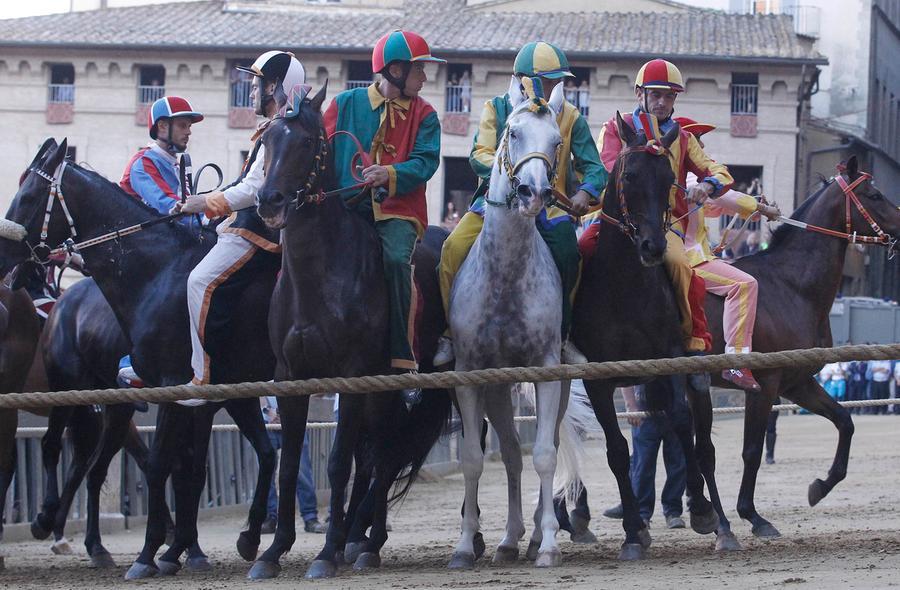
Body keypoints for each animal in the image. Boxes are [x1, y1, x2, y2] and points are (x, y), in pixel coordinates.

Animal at [0, 140, 276, 580]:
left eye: (27, 196)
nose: (2, 253)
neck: (158, 272)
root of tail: (63, 306)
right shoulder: (208, 394)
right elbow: (191, 466)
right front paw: (178, 548)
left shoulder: (189, 391)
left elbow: (180, 465)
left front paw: (163, 552)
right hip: (80, 393)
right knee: (69, 455)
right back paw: (60, 527)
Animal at [246, 84, 454, 584]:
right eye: (268, 140)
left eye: (306, 142)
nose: (270, 201)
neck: (319, 276)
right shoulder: (291, 377)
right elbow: (289, 466)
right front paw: (273, 551)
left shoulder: (353, 375)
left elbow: (339, 463)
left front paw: (324, 554)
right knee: (376, 453)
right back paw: (355, 539)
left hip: (391, 383)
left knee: (383, 453)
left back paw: (366, 544)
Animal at [568, 117, 732, 564]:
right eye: (629, 176)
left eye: (667, 180)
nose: (653, 246)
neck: (623, 286)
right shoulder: (597, 379)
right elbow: (617, 450)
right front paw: (632, 532)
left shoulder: (669, 358)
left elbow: (680, 423)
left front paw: (703, 511)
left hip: (692, 379)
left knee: (702, 445)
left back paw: (722, 525)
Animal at [708, 154, 900, 540]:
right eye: (873, 195)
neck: (790, 286)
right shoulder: (764, 384)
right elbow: (752, 450)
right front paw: (752, 515)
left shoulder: (796, 382)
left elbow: (845, 421)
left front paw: (821, 485)